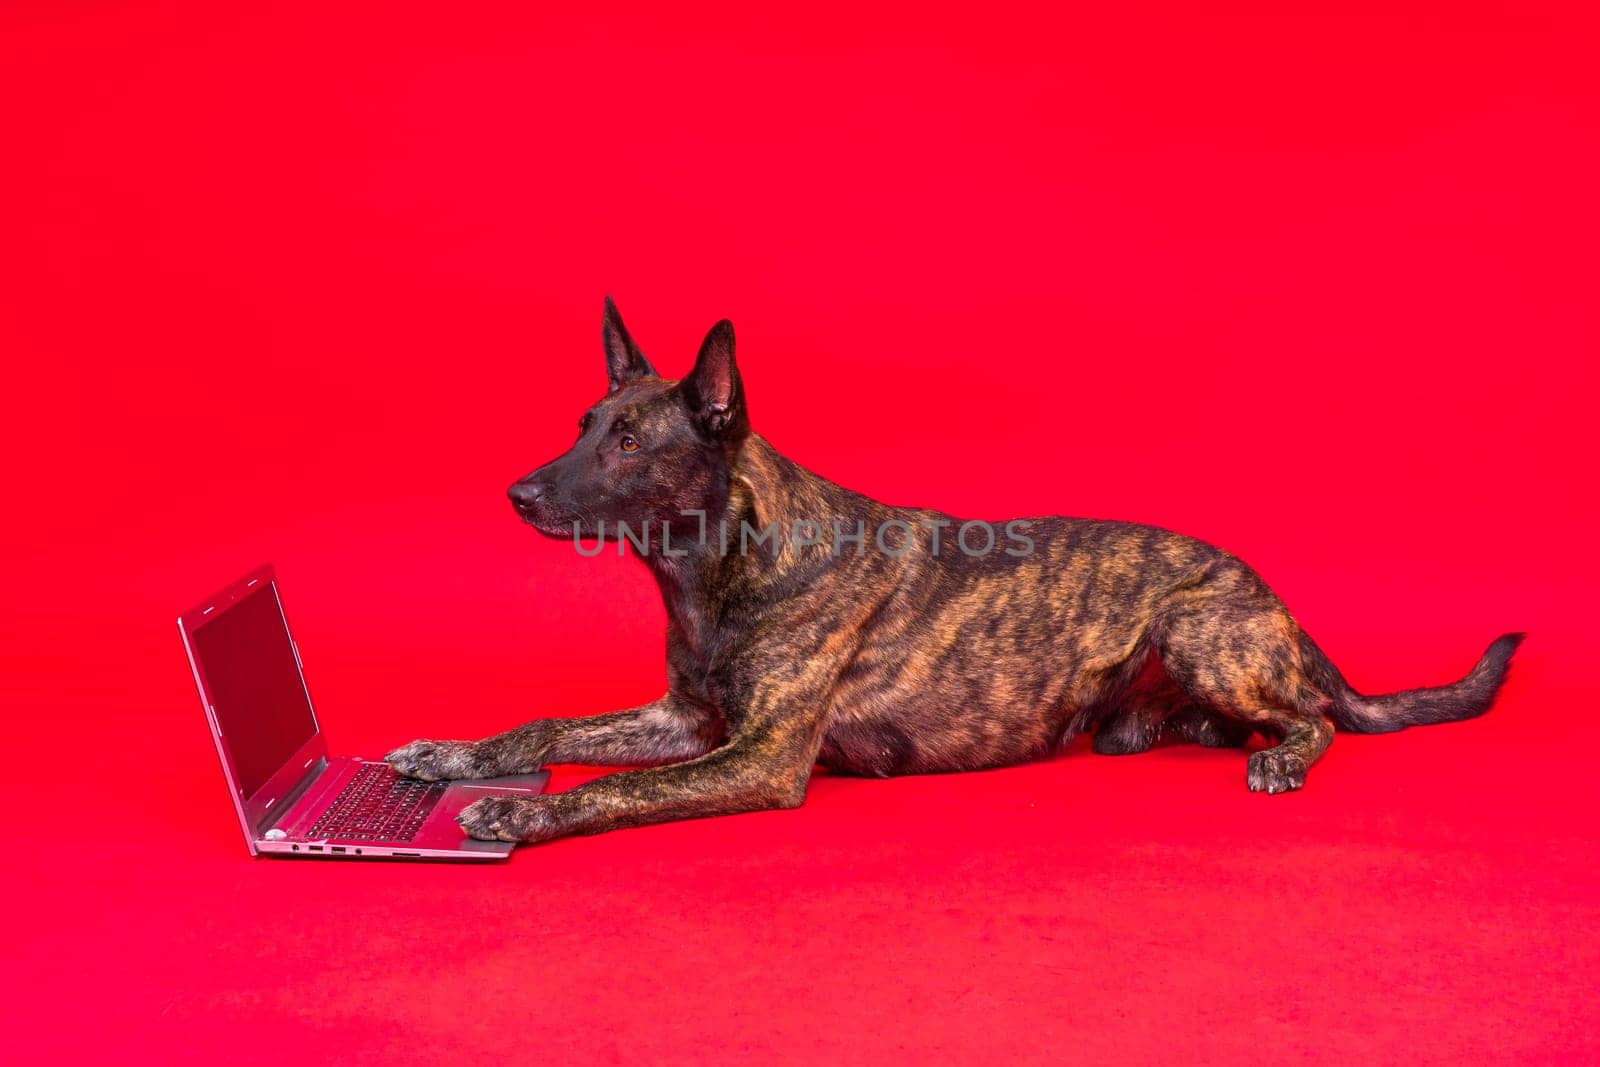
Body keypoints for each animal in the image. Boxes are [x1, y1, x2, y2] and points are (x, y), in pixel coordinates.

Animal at [380, 299, 1516, 844]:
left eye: (626, 443)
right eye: (582, 424)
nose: (517, 494)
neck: (724, 565)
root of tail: (1270, 594)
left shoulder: (755, 758)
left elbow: (615, 789)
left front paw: (522, 813)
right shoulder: (685, 718)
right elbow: (546, 727)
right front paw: (455, 753)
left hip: (1200, 630)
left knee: (1312, 719)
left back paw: (1280, 755)